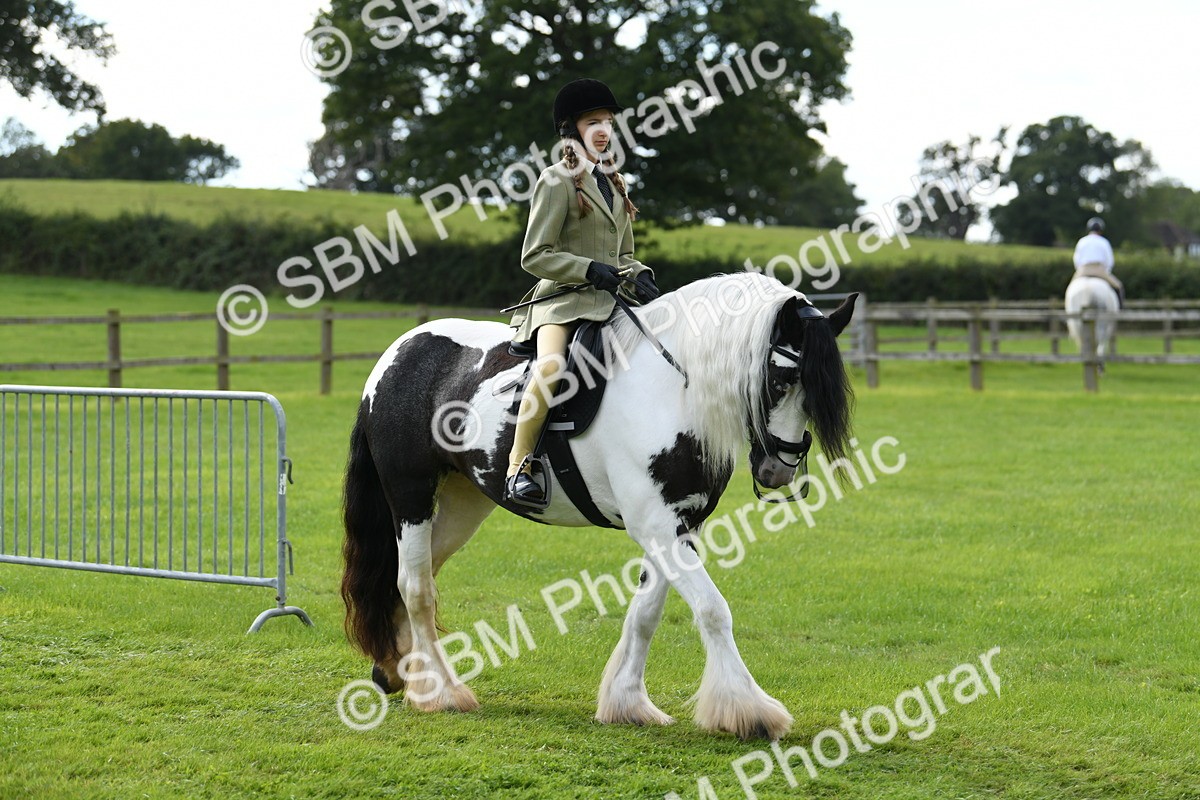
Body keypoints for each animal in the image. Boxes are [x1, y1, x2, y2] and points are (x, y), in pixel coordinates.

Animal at [340, 272, 857, 741]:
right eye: (781, 377)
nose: (778, 470)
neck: (672, 389)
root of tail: (397, 353)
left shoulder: (677, 525)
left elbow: (646, 612)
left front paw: (627, 702)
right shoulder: (656, 525)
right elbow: (713, 610)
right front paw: (749, 712)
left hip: (459, 506)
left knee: (418, 575)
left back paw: (399, 671)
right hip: (411, 495)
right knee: (415, 587)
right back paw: (441, 693)